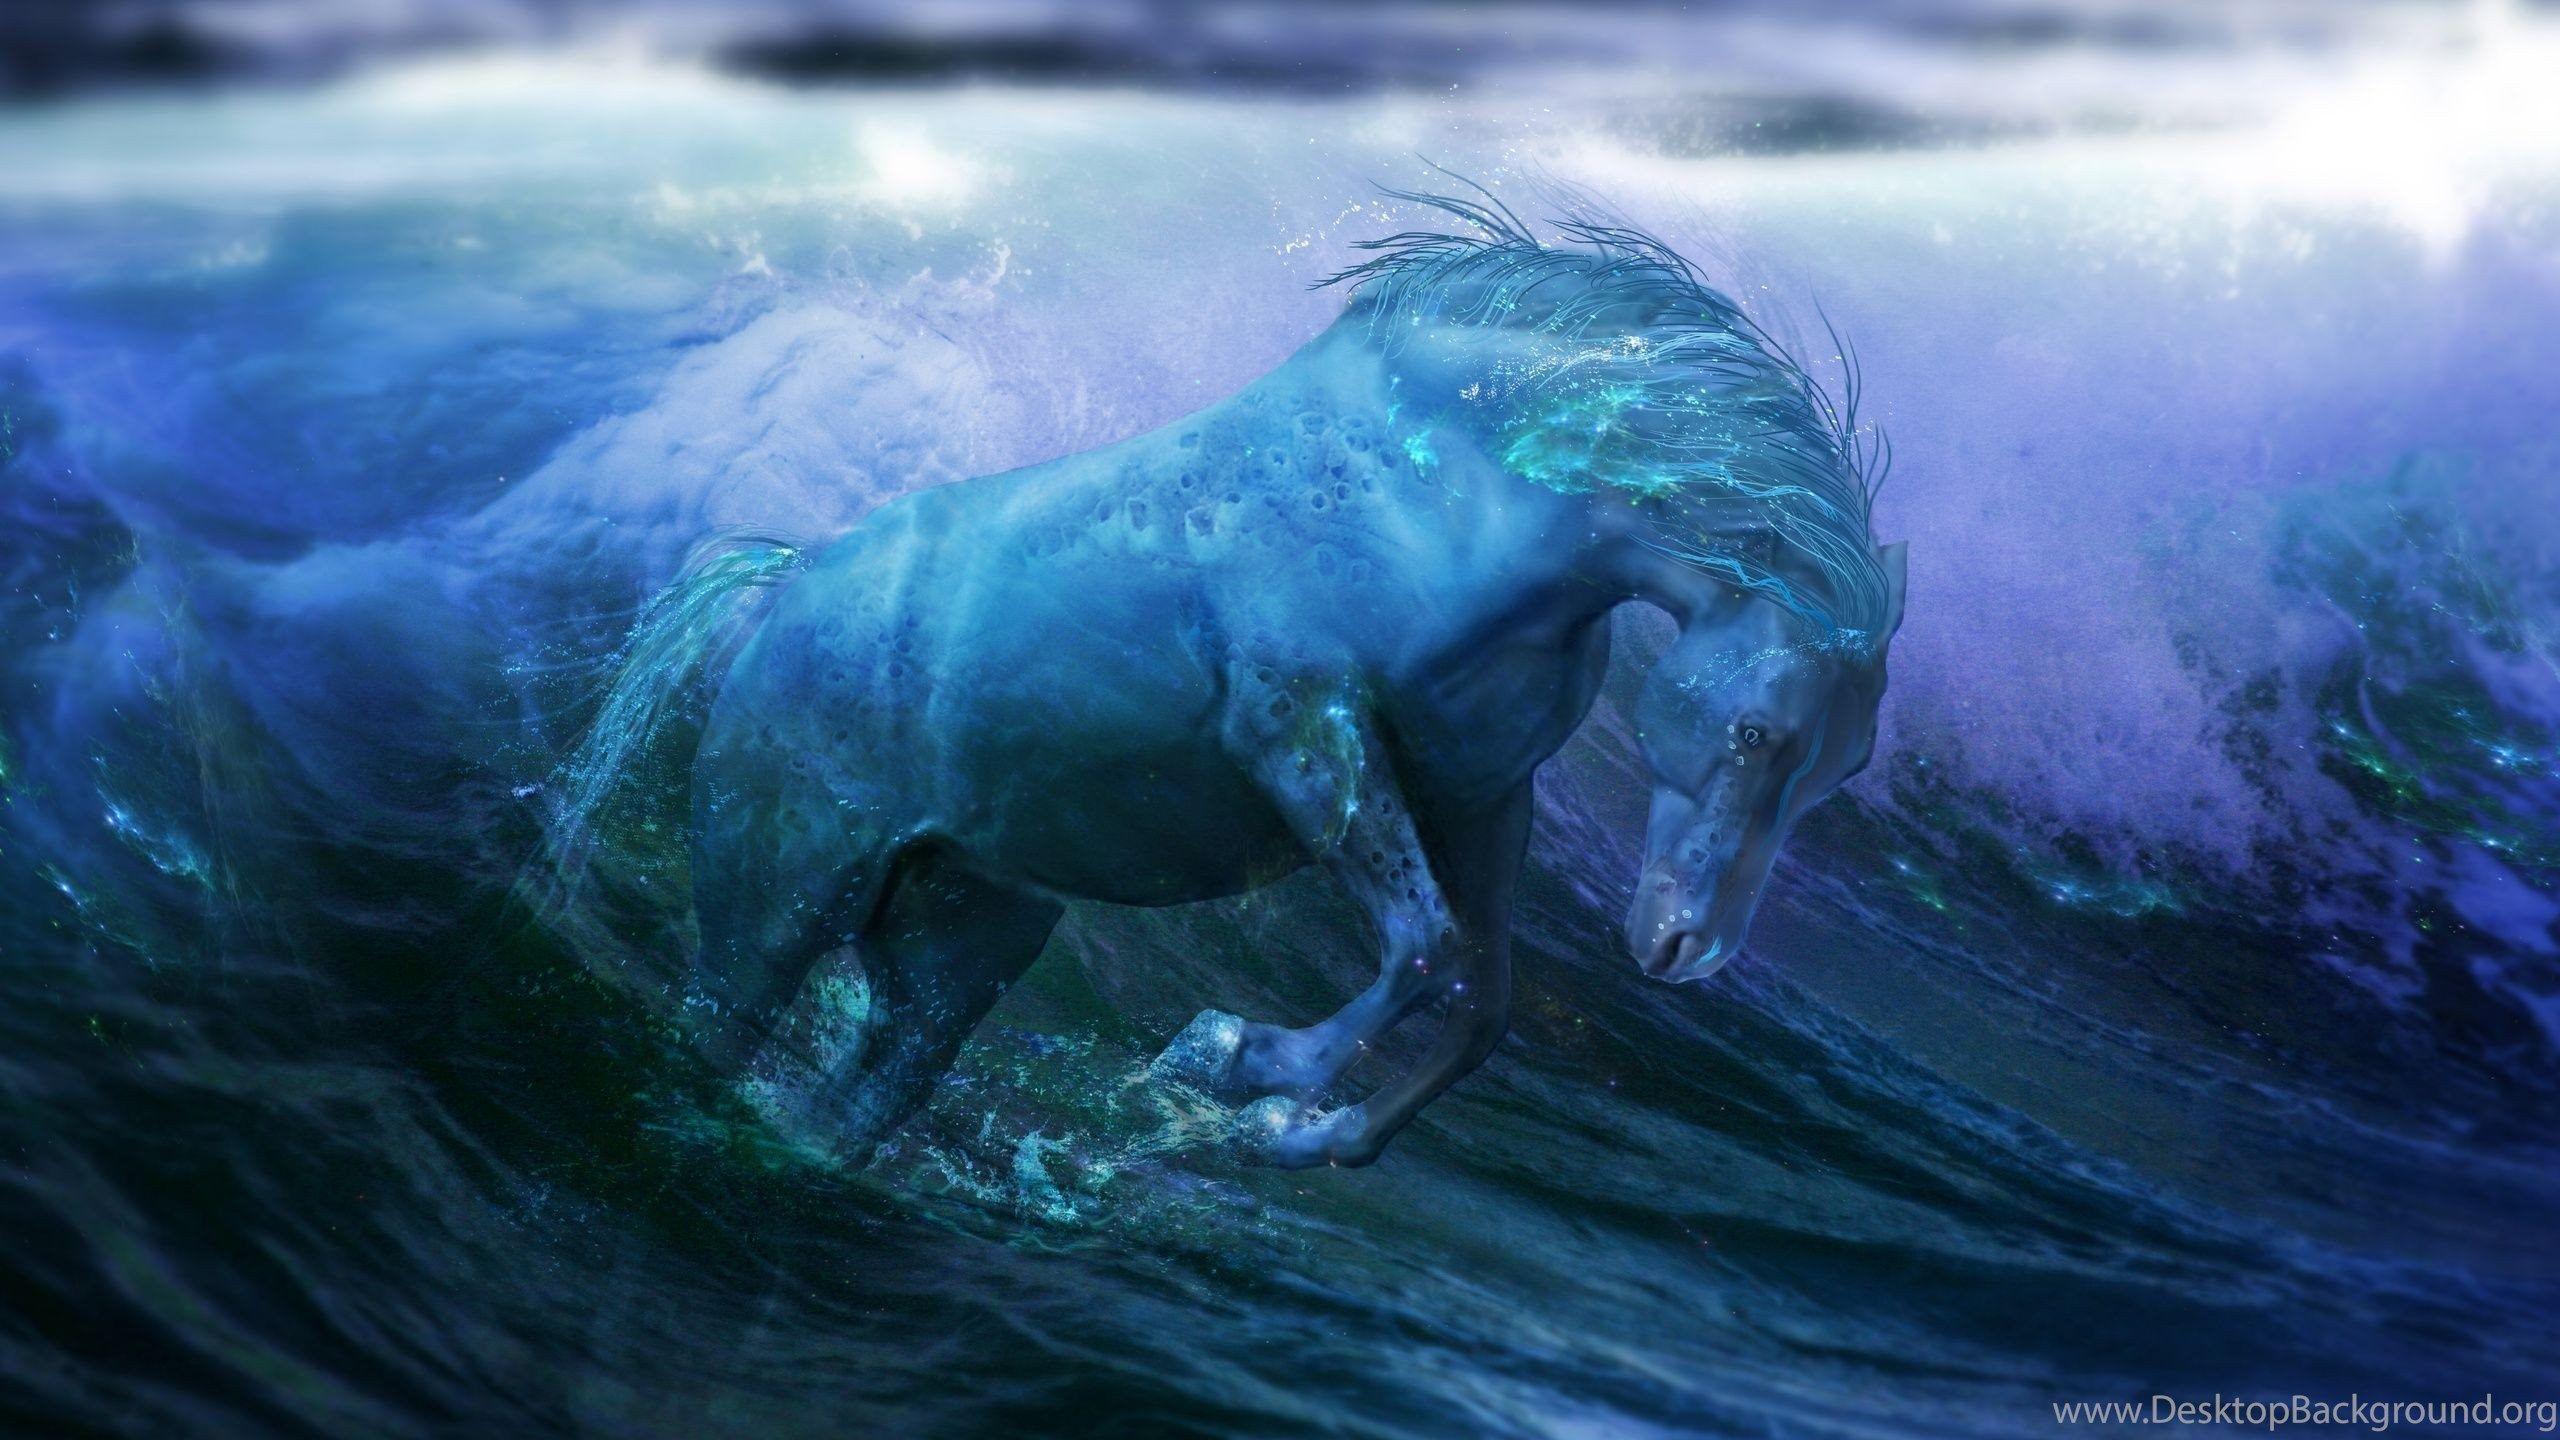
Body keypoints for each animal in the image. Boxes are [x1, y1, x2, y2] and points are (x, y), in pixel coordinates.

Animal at [575, 185, 1906, 1171]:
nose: (1684, 951)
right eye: (1755, 735)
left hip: (963, 934)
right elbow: (1428, 952)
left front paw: (1298, 1131)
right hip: (781, 893)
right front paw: (1235, 1061)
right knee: (721, 1020)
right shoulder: (1302, 734)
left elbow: (1482, 999)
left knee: (864, 1093)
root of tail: (782, 586)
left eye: (1838, 773)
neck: (1453, 501)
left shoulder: (1481, 797)